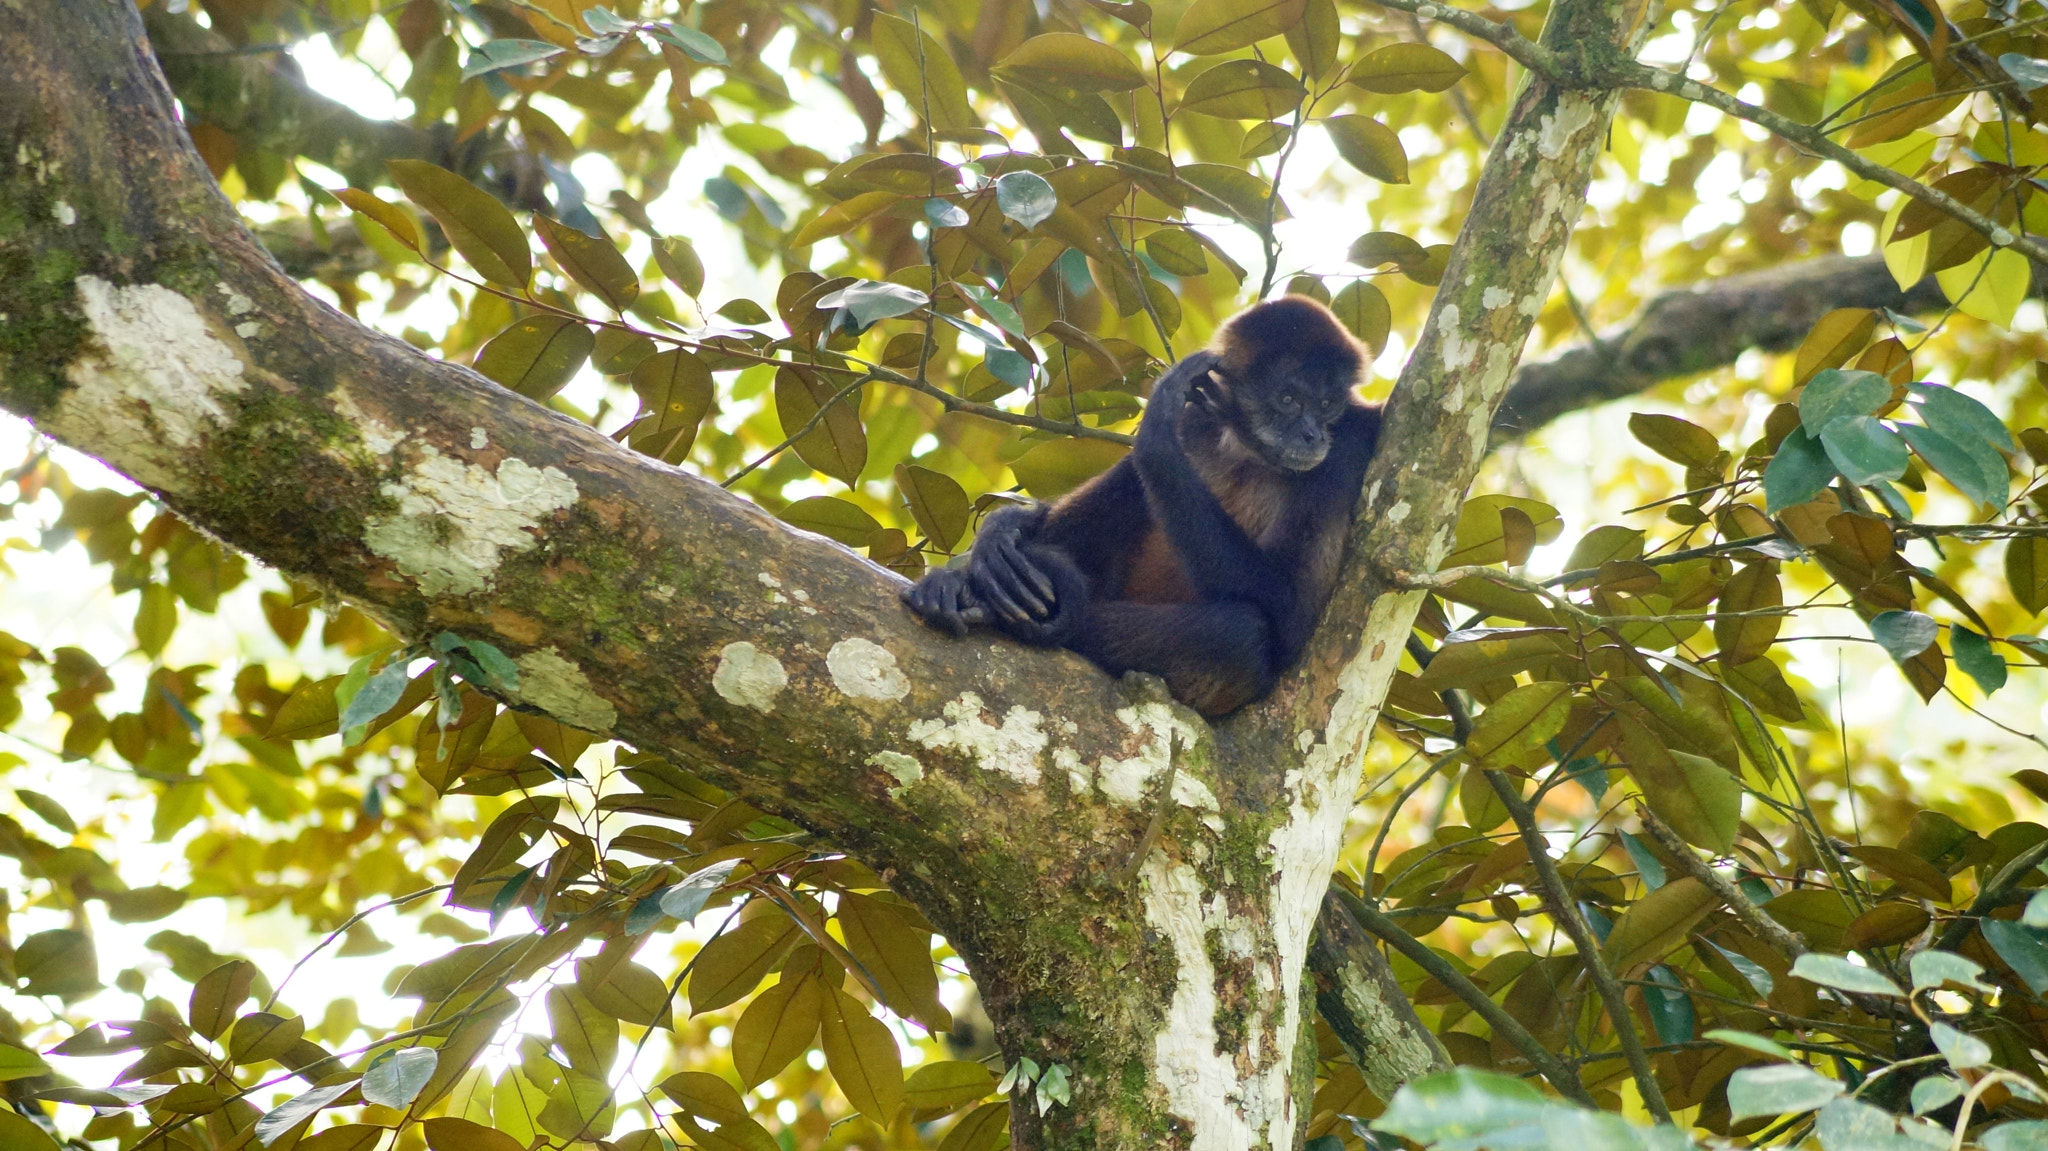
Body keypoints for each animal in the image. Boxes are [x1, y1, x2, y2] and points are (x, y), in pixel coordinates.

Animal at [902, 296, 1382, 716]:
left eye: (1327, 404)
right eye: (1288, 400)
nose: (1312, 435)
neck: (1248, 451)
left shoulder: (1348, 447)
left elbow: (1289, 621)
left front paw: (1156, 427)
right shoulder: (1199, 419)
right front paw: (1001, 532)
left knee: (1240, 635)